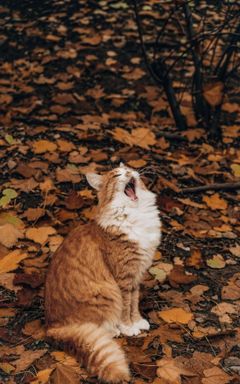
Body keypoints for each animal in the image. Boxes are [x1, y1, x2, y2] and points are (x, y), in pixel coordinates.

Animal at [45, 164, 161, 382]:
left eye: (129, 169)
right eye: (117, 175)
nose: (129, 173)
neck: (136, 213)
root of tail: (51, 327)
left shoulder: (136, 276)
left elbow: (134, 303)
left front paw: (137, 321)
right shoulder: (123, 278)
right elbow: (125, 307)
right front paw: (128, 327)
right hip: (105, 292)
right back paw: (114, 330)